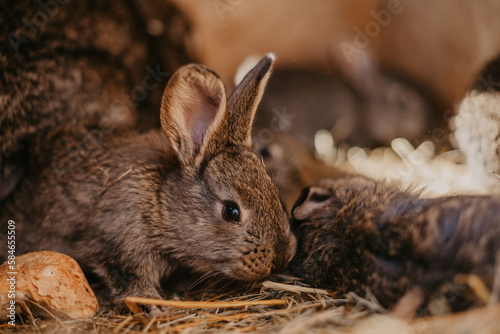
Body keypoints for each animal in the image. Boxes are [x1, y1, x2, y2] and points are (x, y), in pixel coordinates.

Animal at [0, 54, 296, 316]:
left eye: (277, 197)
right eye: (231, 212)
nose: (280, 258)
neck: (160, 202)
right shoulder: (118, 242)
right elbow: (129, 278)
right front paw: (153, 305)